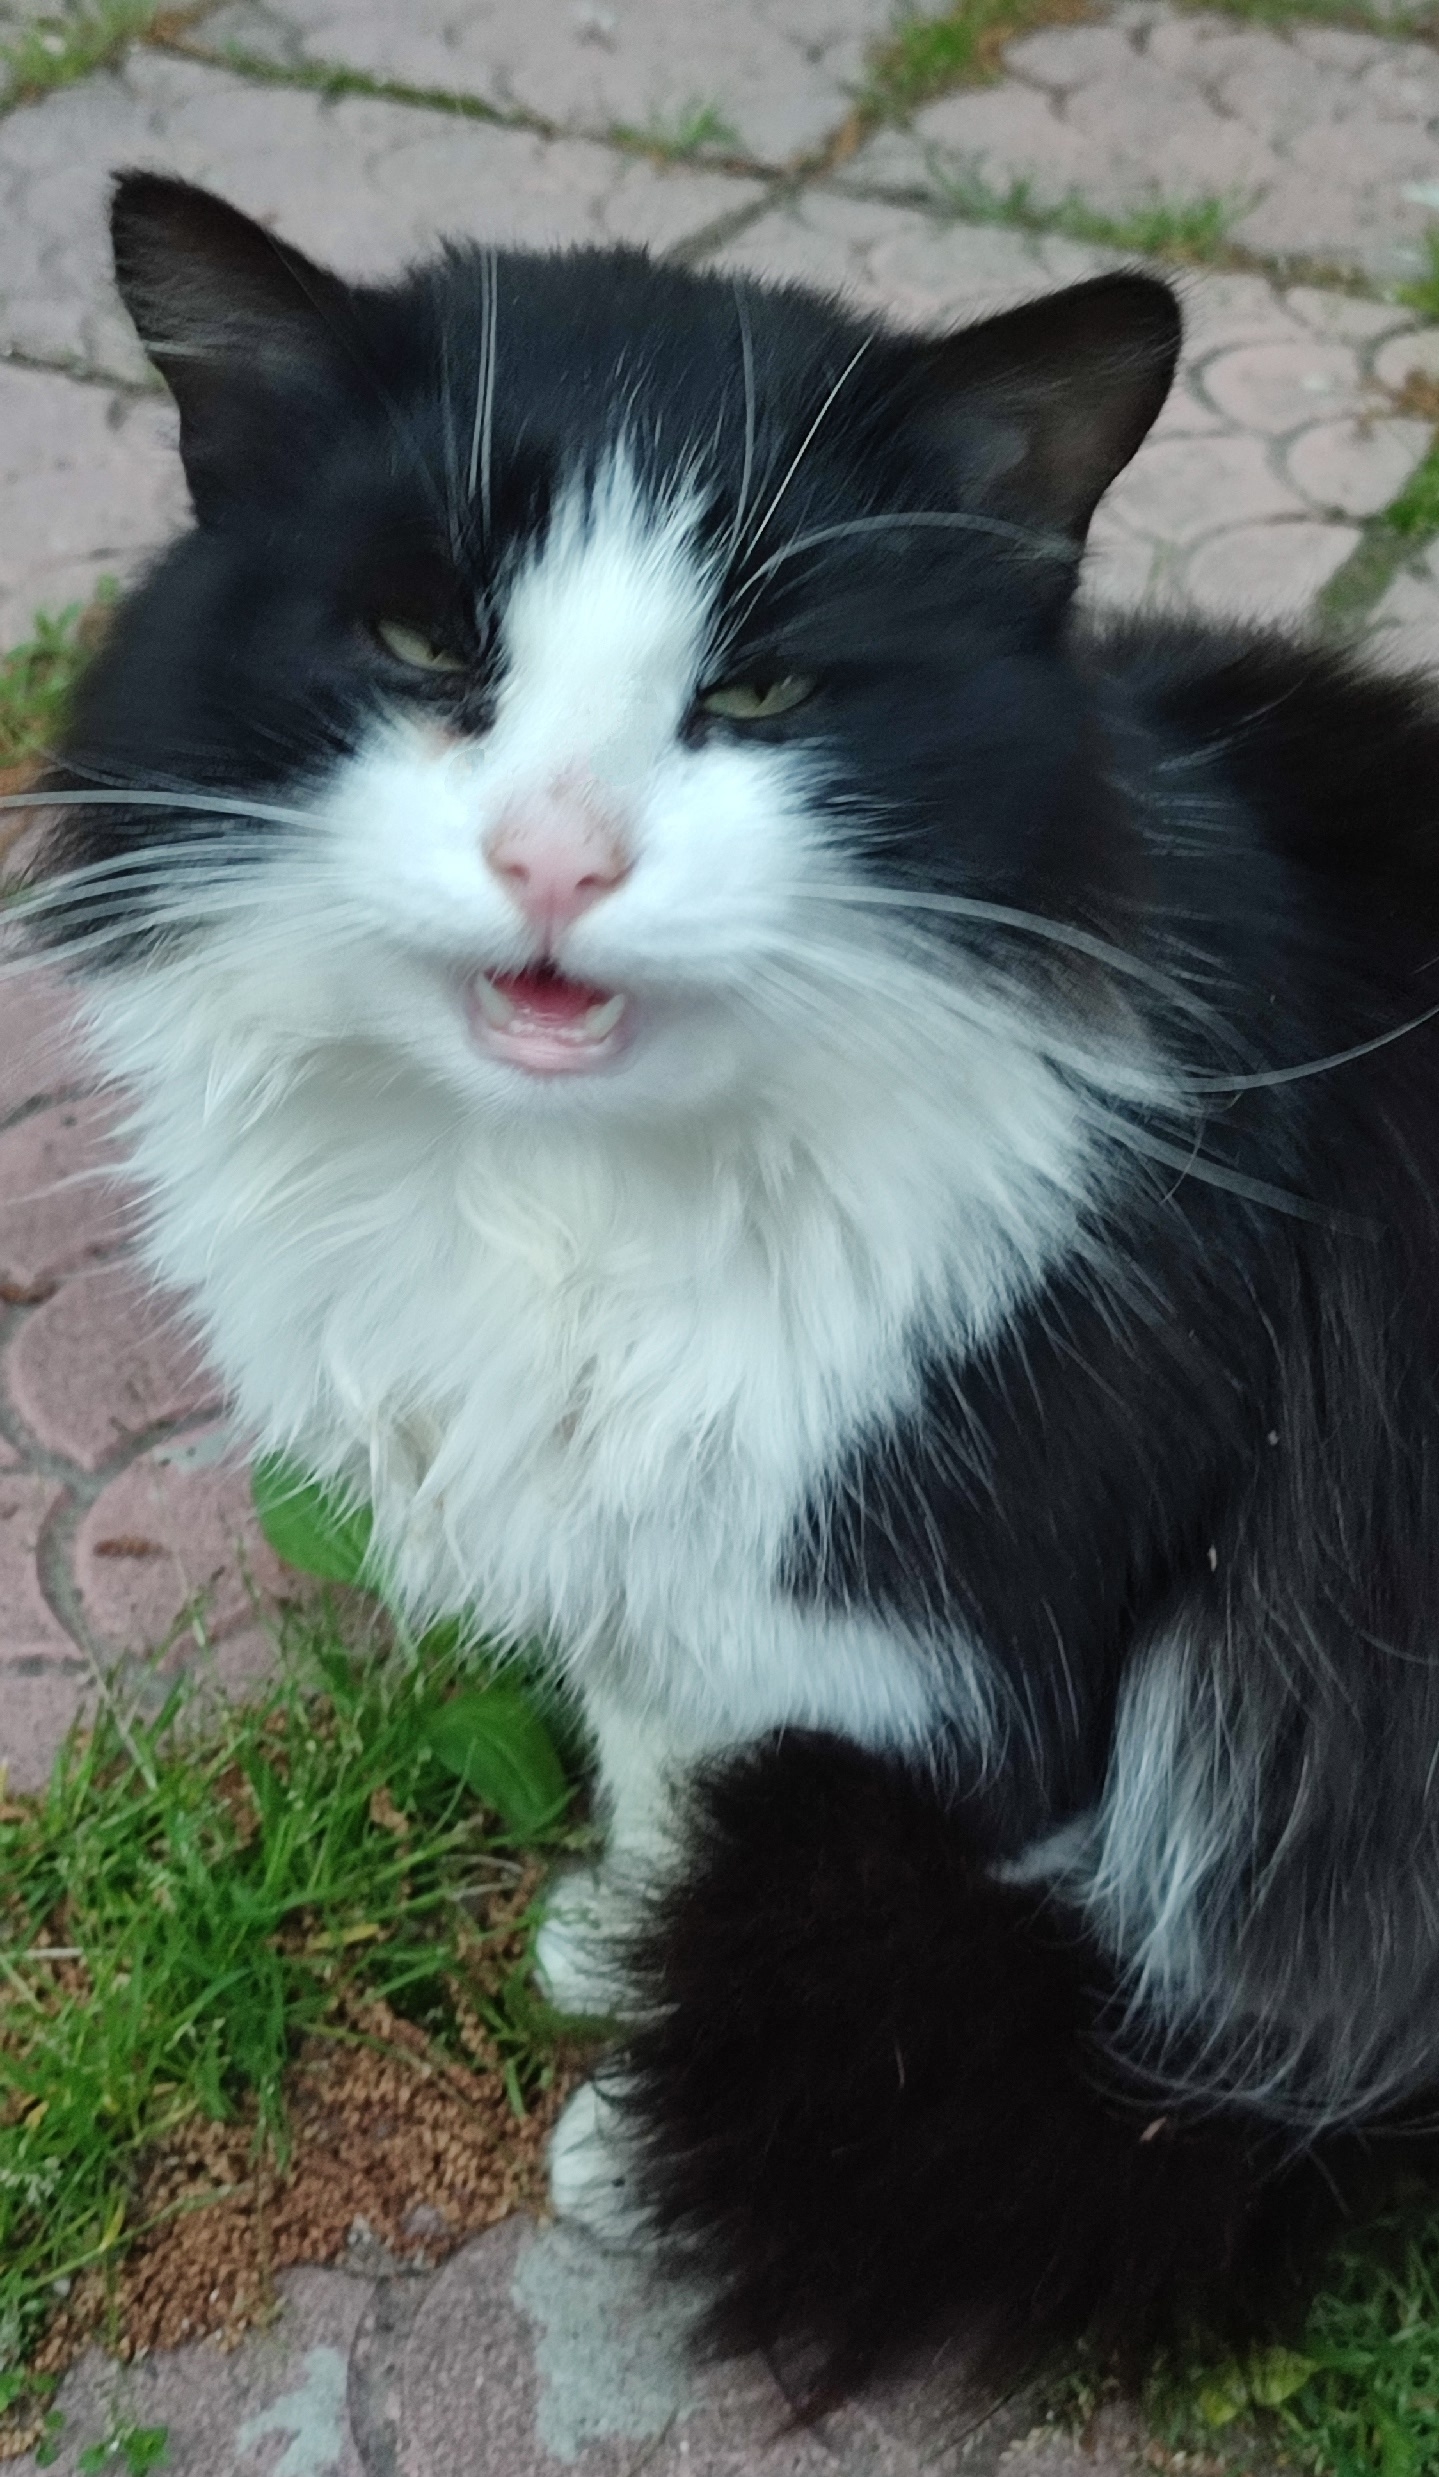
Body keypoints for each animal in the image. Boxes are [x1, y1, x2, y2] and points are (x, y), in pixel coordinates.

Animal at [27, 167, 1439, 2401]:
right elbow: (655, 1737)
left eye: (764, 694)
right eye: (421, 639)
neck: (571, 1192)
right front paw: (627, 1925)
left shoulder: (948, 1579)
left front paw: (637, 2094)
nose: (553, 858)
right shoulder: (678, 1524)